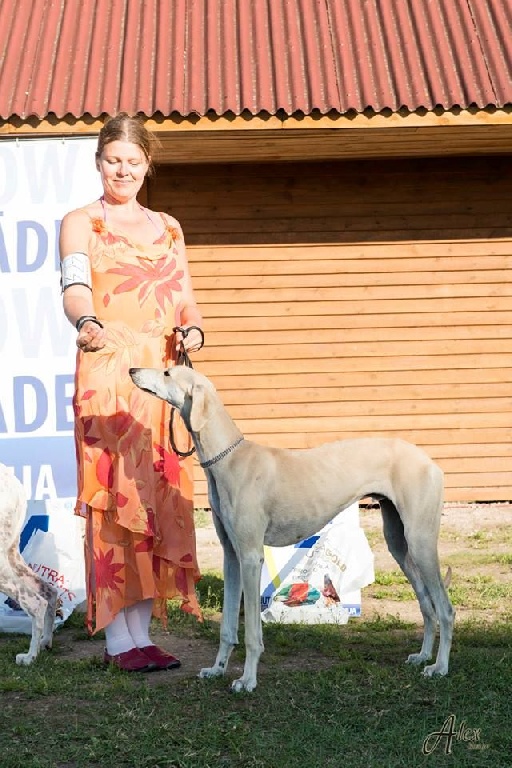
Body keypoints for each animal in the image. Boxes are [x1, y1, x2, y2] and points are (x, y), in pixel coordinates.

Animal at [130, 364, 454, 692]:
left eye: (167, 373)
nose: (132, 370)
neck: (229, 458)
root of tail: (430, 462)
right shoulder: (232, 556)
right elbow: (227, 626)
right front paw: (217, 669)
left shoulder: (251, 557)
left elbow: (252, 633)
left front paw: (247, 679)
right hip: (399, 543)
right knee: (427, 604)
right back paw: (423, 656)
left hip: (421, 542)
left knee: (445, 608)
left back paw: (439, 667)